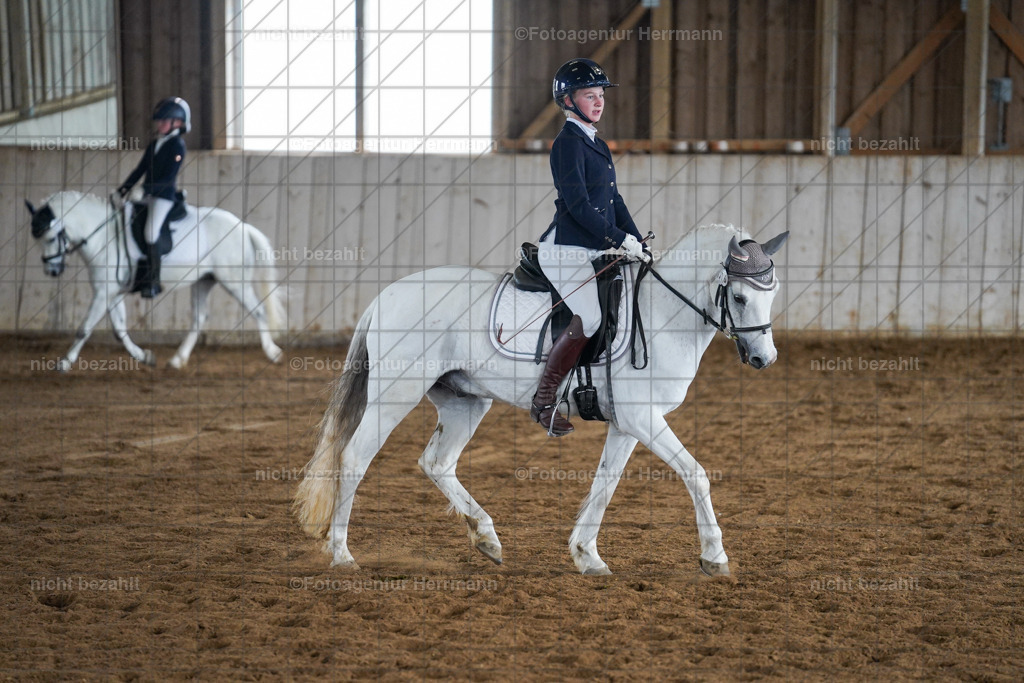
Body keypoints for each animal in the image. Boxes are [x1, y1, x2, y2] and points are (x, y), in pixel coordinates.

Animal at [25, 191, 284, 371]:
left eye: (51, 237)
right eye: (38, 240)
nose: (52, 271)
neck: (104, 237)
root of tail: (243, 227)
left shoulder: (103, 293)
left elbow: (84, 329)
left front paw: (63, 363)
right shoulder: (111, 293)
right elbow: (119, 330)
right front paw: (144, 357)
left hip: (234, 282)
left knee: (259, 311)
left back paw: (273, 353)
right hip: (204, 281)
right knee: (199, 319)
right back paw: (178, 360)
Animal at [294, 223, 789, 577]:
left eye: (774, 292)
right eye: (739, 296)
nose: (764, 359)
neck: (662, 315)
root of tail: (386, 295)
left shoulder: (627, 423)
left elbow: (605, 484)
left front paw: (587, 556)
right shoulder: (642, 419)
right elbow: (696, 474)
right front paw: (715, 557)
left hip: (464, 401)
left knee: (437, 462)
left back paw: (487, 539)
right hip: (395, 393)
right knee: (355, 457)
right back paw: (342, 555)